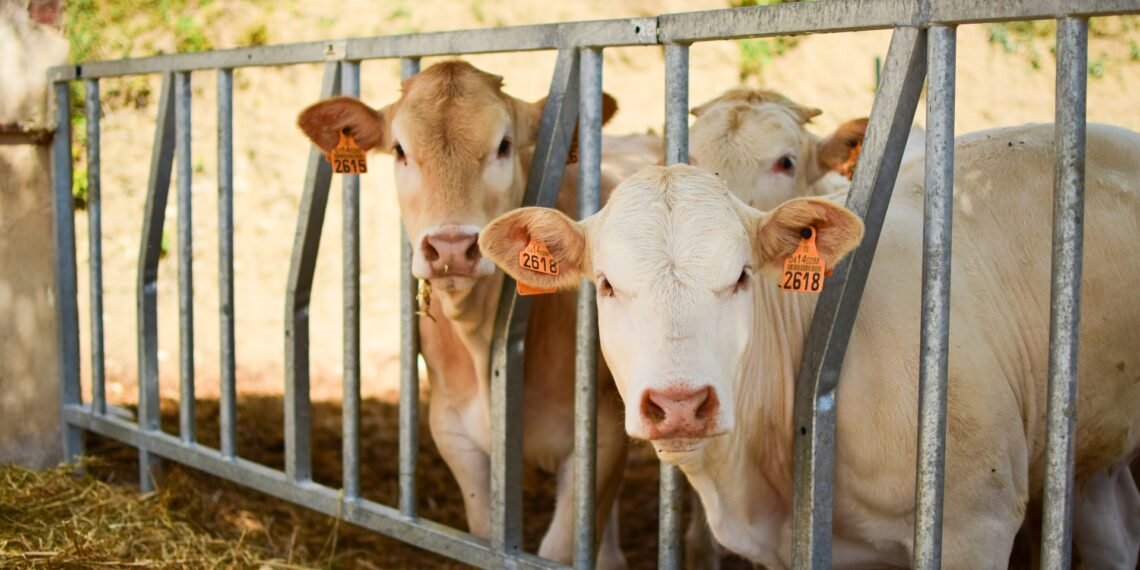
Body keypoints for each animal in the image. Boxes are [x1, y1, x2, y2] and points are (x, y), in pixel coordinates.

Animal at [297, 60, 638, 567]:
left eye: (504, 145)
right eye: (399, 149)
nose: (451, 248)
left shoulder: (600, 439)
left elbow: (562, 546)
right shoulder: (453, 429)